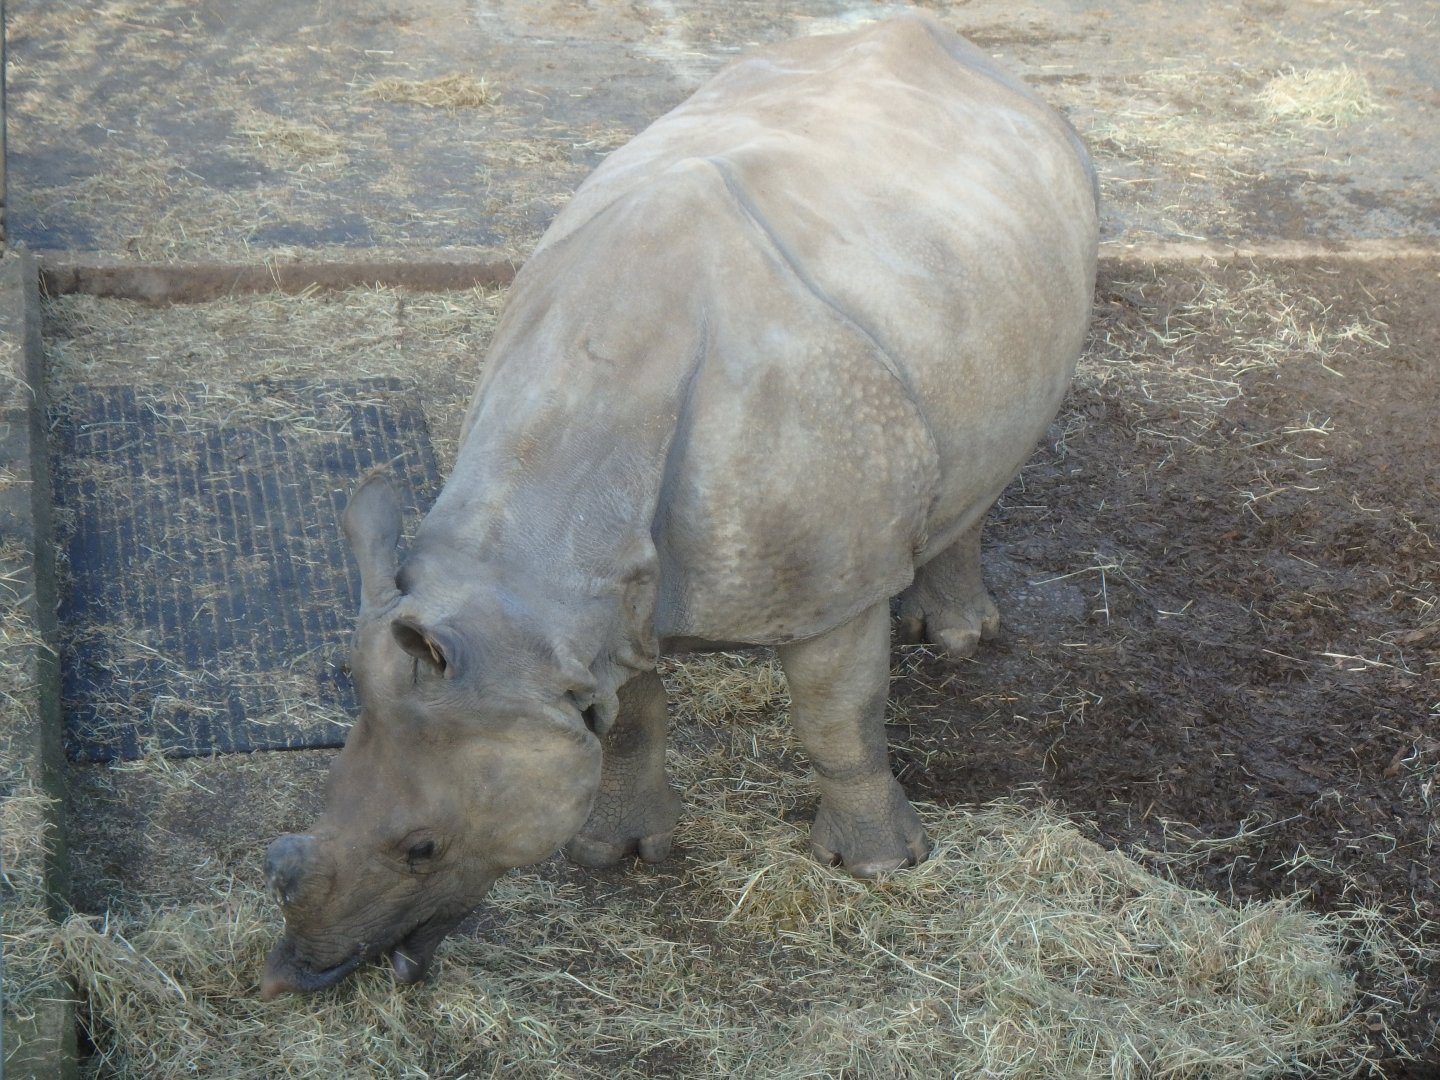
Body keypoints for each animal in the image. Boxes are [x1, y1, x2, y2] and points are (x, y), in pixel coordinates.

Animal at [261, 13, 1098, 997]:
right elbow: (628, 721)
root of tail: (974, 58)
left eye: (422, 849)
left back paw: (958, 639)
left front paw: (880, 868)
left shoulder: (832, 589)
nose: (296, 973)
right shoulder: (596, 609)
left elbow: (837, 720)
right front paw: (615, 852)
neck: (538, 563)